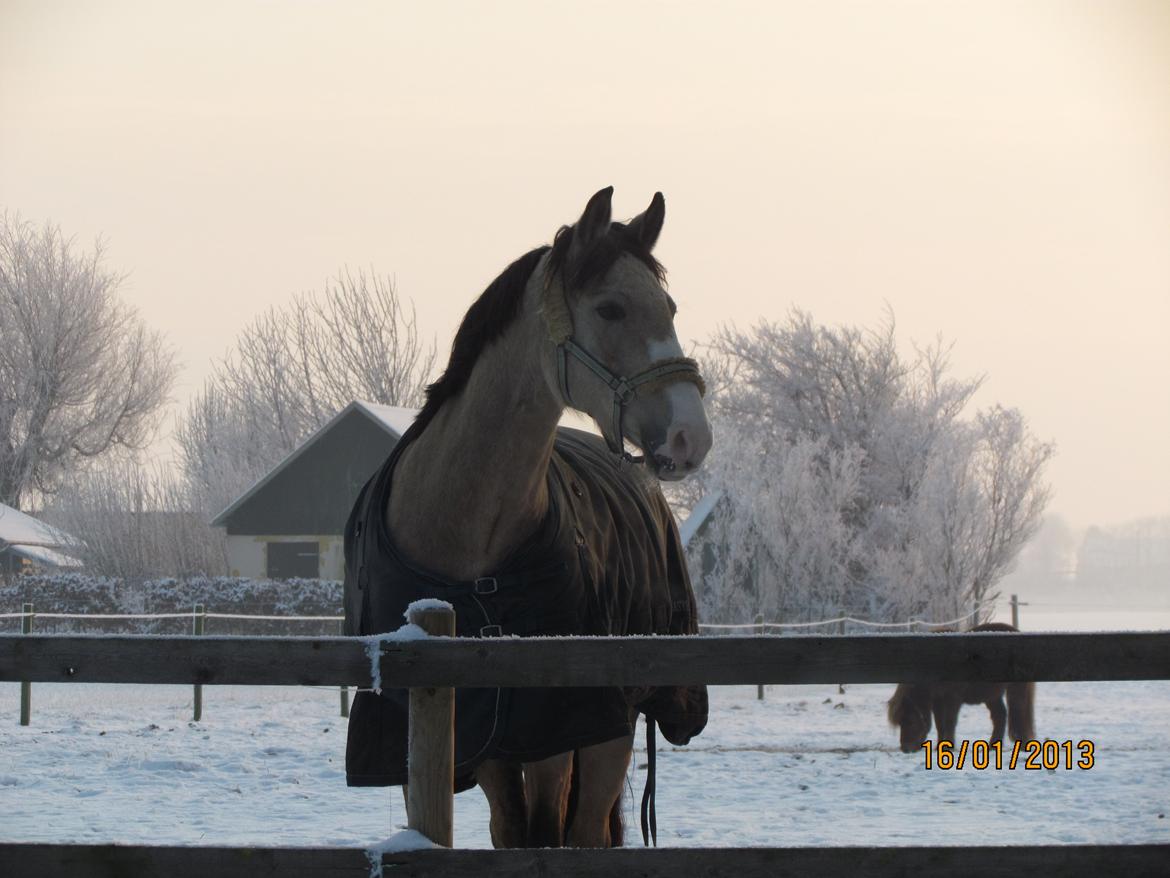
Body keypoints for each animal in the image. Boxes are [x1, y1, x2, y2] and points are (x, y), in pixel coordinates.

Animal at [341, 187, 711, 852]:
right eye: (611, 308)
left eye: (668, 306)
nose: (690, 437)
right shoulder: (442, 731)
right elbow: (510, 832)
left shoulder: (553, 725)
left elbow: (545, 835)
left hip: (611, 725)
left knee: (586, 831)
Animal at [879, 622, 1038, 753]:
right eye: (900, 722)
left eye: (911, 721)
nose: (906, 748)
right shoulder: (938, 701)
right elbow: (940, 724)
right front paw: (939, 747)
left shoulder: (952, 699)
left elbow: (949, 722)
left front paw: (948, 746)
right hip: (991, 696)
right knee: (1000, 717)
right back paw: (993, 746)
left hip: (1015, 692)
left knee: (1018, 714)